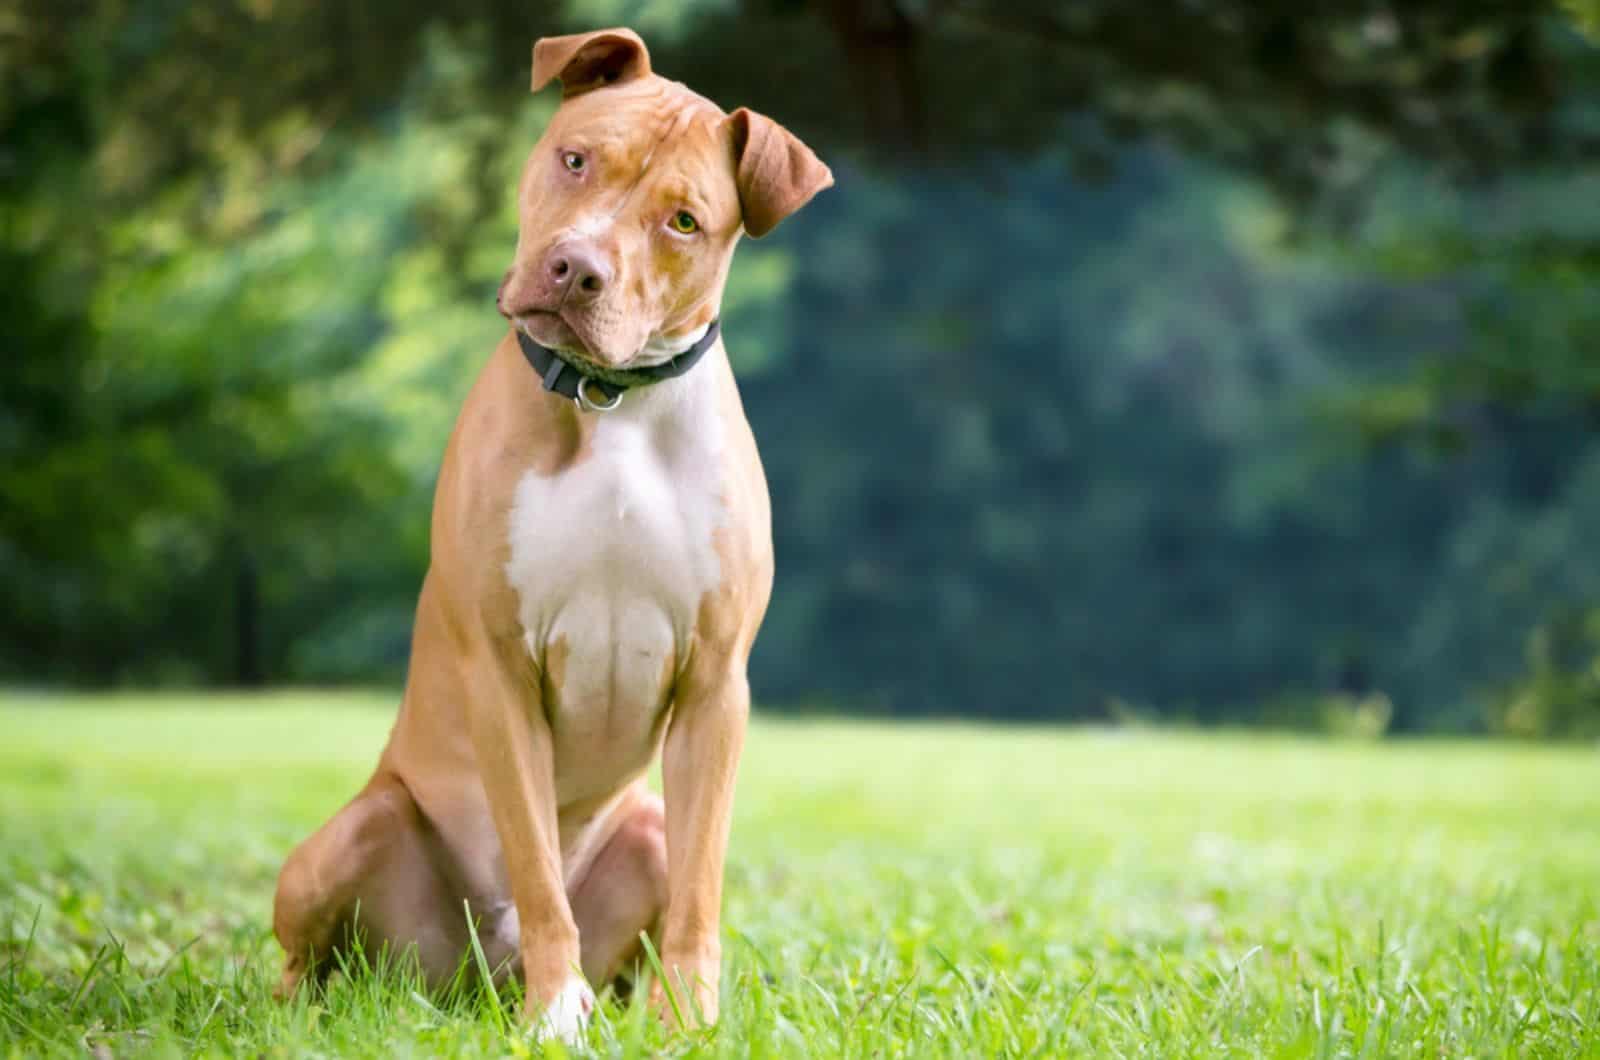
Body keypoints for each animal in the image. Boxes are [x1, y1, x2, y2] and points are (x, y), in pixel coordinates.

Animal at [268, 27, 832, 1043]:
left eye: (683, 221)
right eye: (575, 160)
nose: (576, 269)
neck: (609, 403)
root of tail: (469, 980)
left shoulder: (715, 684)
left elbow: (701, 888)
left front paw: (689, 1020)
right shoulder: (502, 670)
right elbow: (535, 867)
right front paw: (554, 1012)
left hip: (644, 825)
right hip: (354, 836)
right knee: (308, 961)